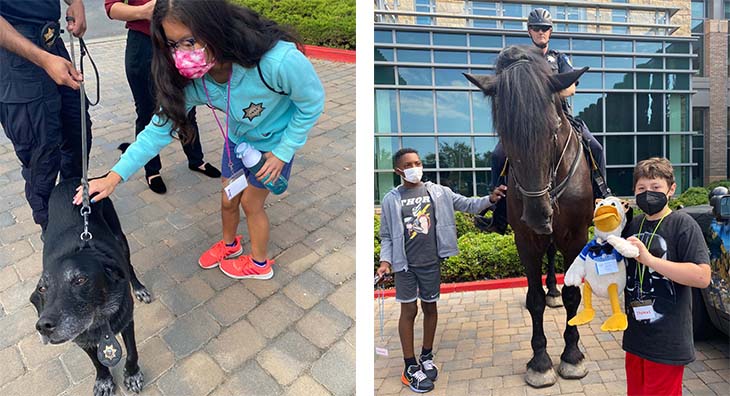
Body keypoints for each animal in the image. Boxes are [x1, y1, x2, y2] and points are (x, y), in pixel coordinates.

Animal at [29, 179, 152, 396]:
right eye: (42, 289)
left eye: (80, 280)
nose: (43, 326)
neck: (98, 320)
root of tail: (71, 180)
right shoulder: (81, 338)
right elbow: (97, 362)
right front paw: (104, 381)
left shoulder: (127, 320)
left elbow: (132, 352)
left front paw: (132, 375)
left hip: (121, 239)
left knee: (129, 266)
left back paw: (138, 288)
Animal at [464, 46, 596, 386]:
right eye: (506, 135)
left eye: (553, 132)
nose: (538, 215)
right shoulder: (525, 240)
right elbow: (533, 299)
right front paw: (540, 362)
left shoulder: (576, 237)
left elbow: (574, 296)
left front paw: (572, 356)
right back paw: (551, 290)